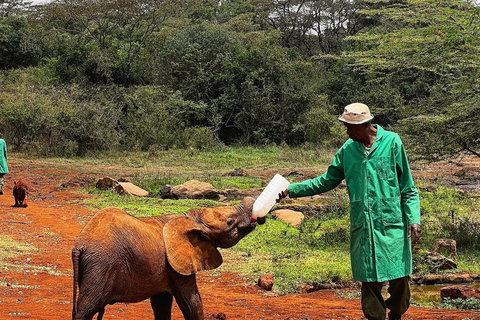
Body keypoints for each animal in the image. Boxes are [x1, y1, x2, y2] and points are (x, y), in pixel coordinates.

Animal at [71, 196, 256, 318]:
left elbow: (162, 304)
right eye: (230, 222)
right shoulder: (177, 266)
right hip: (101, 264)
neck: (189, 217)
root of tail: (80, 245)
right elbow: (191, 303)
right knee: (86, 308)